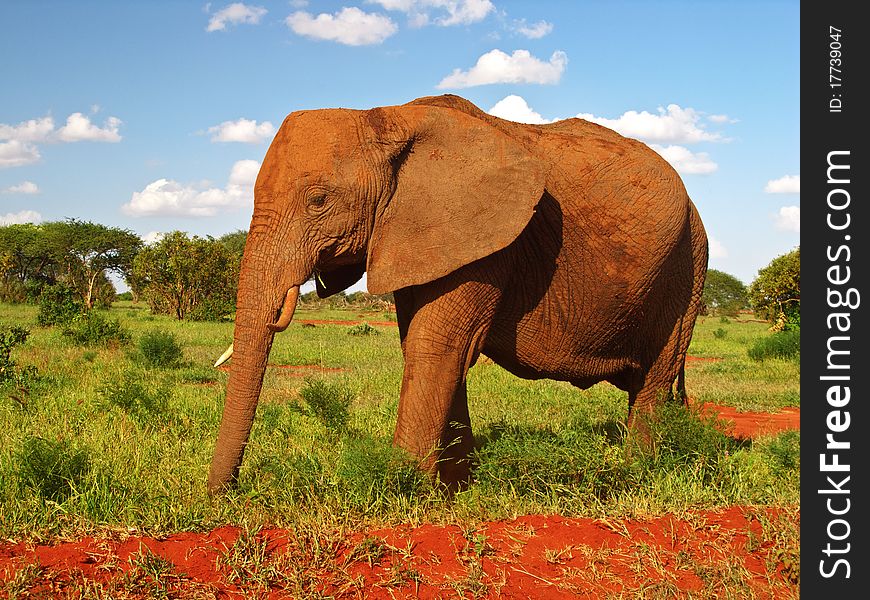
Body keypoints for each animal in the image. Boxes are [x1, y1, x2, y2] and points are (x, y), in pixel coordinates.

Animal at [209, 90, 708, 492]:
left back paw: (636, 474)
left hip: (688, 268)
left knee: (654, 380)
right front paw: (457, 487)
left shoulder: (486, 238)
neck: (387, 116)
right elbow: (428, 346)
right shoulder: (414, 235)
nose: (225, 495)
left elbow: (436, 345)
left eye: (318, 201)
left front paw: (404, 491)